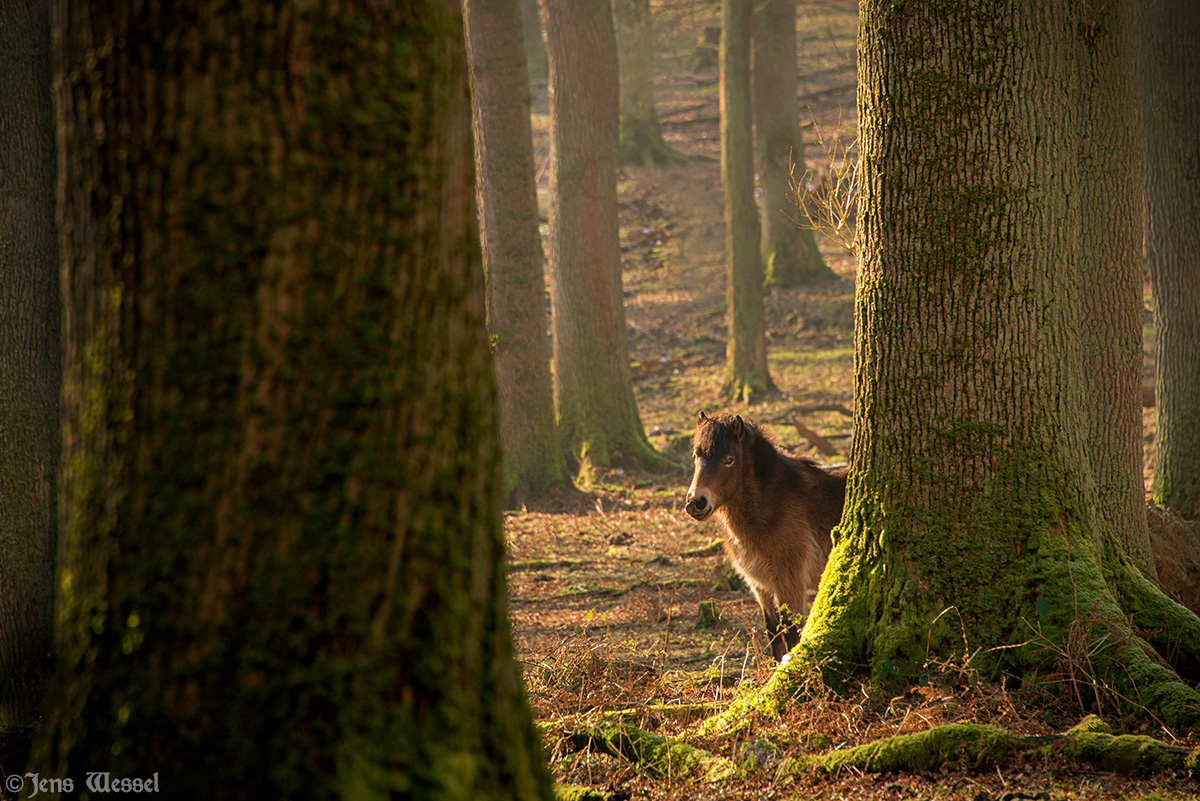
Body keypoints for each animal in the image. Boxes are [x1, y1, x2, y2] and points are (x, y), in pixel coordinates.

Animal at [686, 410, 844, 661]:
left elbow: (791, 634)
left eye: (729, 459)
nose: (696, 502)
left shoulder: (790, 585)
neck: (771, 507)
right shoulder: (761, 586)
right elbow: (774, 635)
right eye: (696, 456)